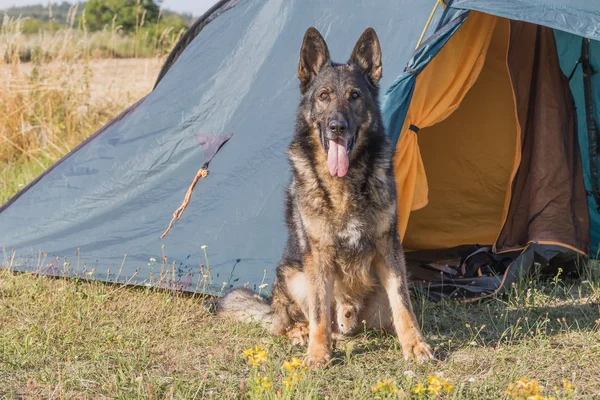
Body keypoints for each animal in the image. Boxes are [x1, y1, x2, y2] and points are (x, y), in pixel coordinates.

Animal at [216, 27, 432, 366]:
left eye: (354, 96)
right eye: (324, 96)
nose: (337, 127)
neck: (344, 185)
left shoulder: (389, 248)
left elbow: (403, 303)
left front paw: (415, 345)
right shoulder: (317, 256)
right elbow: (318, 311)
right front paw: (318, 353)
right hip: (294, 275)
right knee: (288, 322)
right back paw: (303, 333)